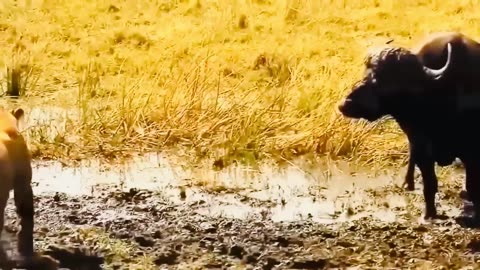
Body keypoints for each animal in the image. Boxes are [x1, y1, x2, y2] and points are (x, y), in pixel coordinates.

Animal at [338, 32, 480, 224]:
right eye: (366, 73)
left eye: (384, 79)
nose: (345, 104)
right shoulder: (422, 147)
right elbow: (429, 183)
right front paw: (429, 215)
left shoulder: (472, 150)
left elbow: (472, 185)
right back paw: (408, 183)